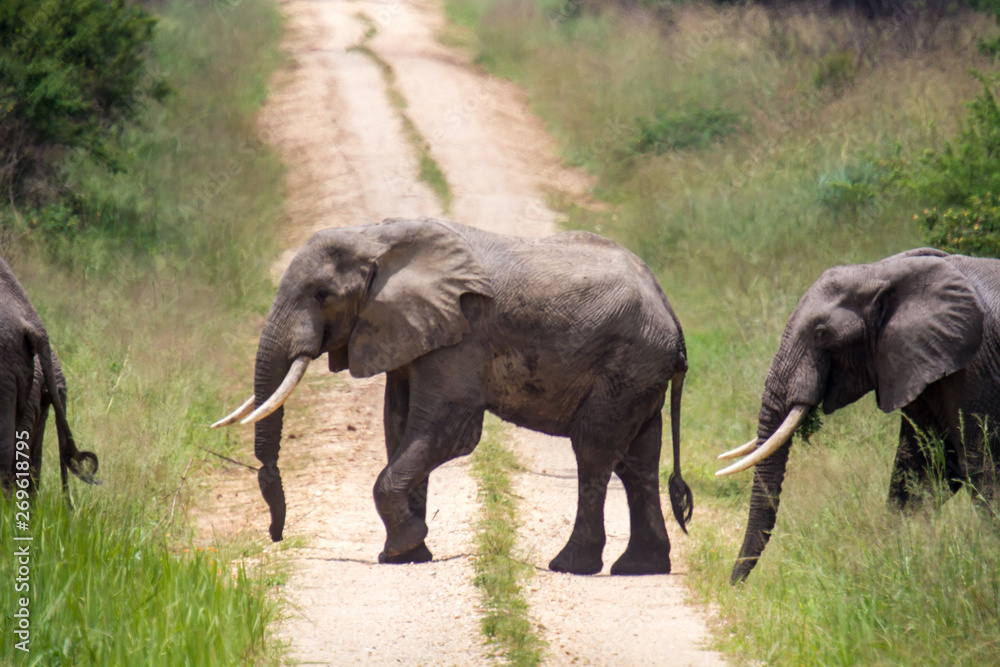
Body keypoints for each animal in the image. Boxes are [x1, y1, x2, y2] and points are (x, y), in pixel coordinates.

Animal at [214, 217, 693, 575]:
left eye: (321, 294)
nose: (277, 535)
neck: (376, 237)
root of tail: (670, 311)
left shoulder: (461, 333)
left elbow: (448, 429)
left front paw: (404, 546)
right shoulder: (410, 331)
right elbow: (397, 427)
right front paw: (407, 556)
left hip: (628, 361)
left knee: (594, 449)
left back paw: (570, 565)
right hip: (639, 370)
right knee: (638, 459)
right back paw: (640, 567)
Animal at [717, 247, 1000, 583]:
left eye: (821, 333)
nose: (731, 585)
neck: (884, 271)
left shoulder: (976, 370)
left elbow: (982, 469)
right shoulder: (917, 362)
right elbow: (923, 469)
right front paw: (896, 559)